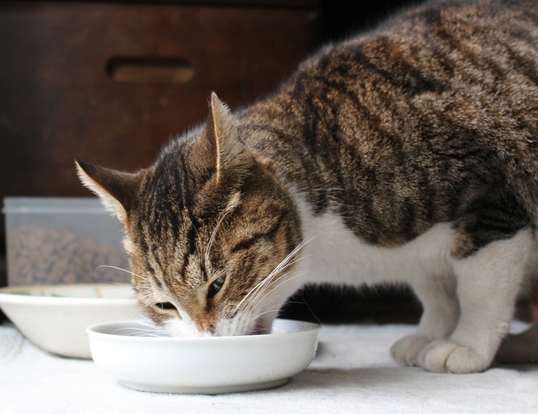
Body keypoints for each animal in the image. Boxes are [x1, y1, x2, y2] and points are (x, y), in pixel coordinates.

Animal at [75, 0, 536, 376]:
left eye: (218, 285)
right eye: (164, 306)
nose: (208, 342)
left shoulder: (491, 202)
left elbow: (479, 291)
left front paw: (465, 344)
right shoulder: (429, 259)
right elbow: (437, 291)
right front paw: (432, 332)